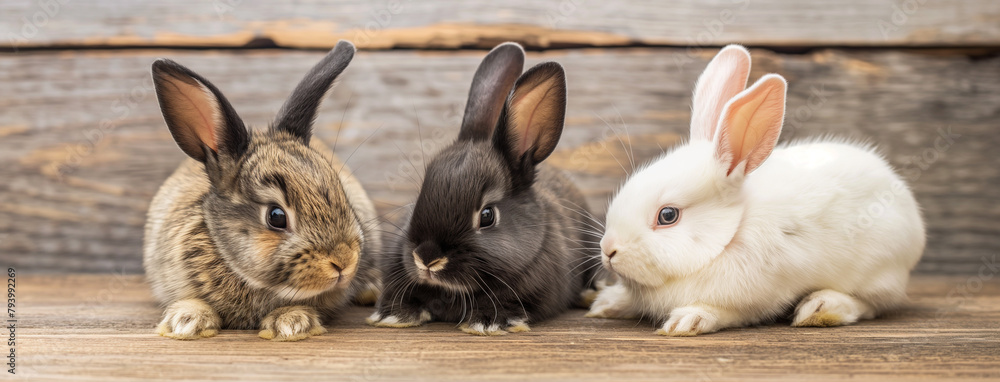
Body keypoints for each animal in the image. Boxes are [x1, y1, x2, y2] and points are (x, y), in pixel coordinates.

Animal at [588, 45, 924, 338]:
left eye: (668, 215)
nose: (609, 250)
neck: (728, 237)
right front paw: (608, 303)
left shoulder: (757, 298)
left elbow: (726, 312)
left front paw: (687, 320)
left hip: (878, 271)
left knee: (872, 304)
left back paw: (821, 308)